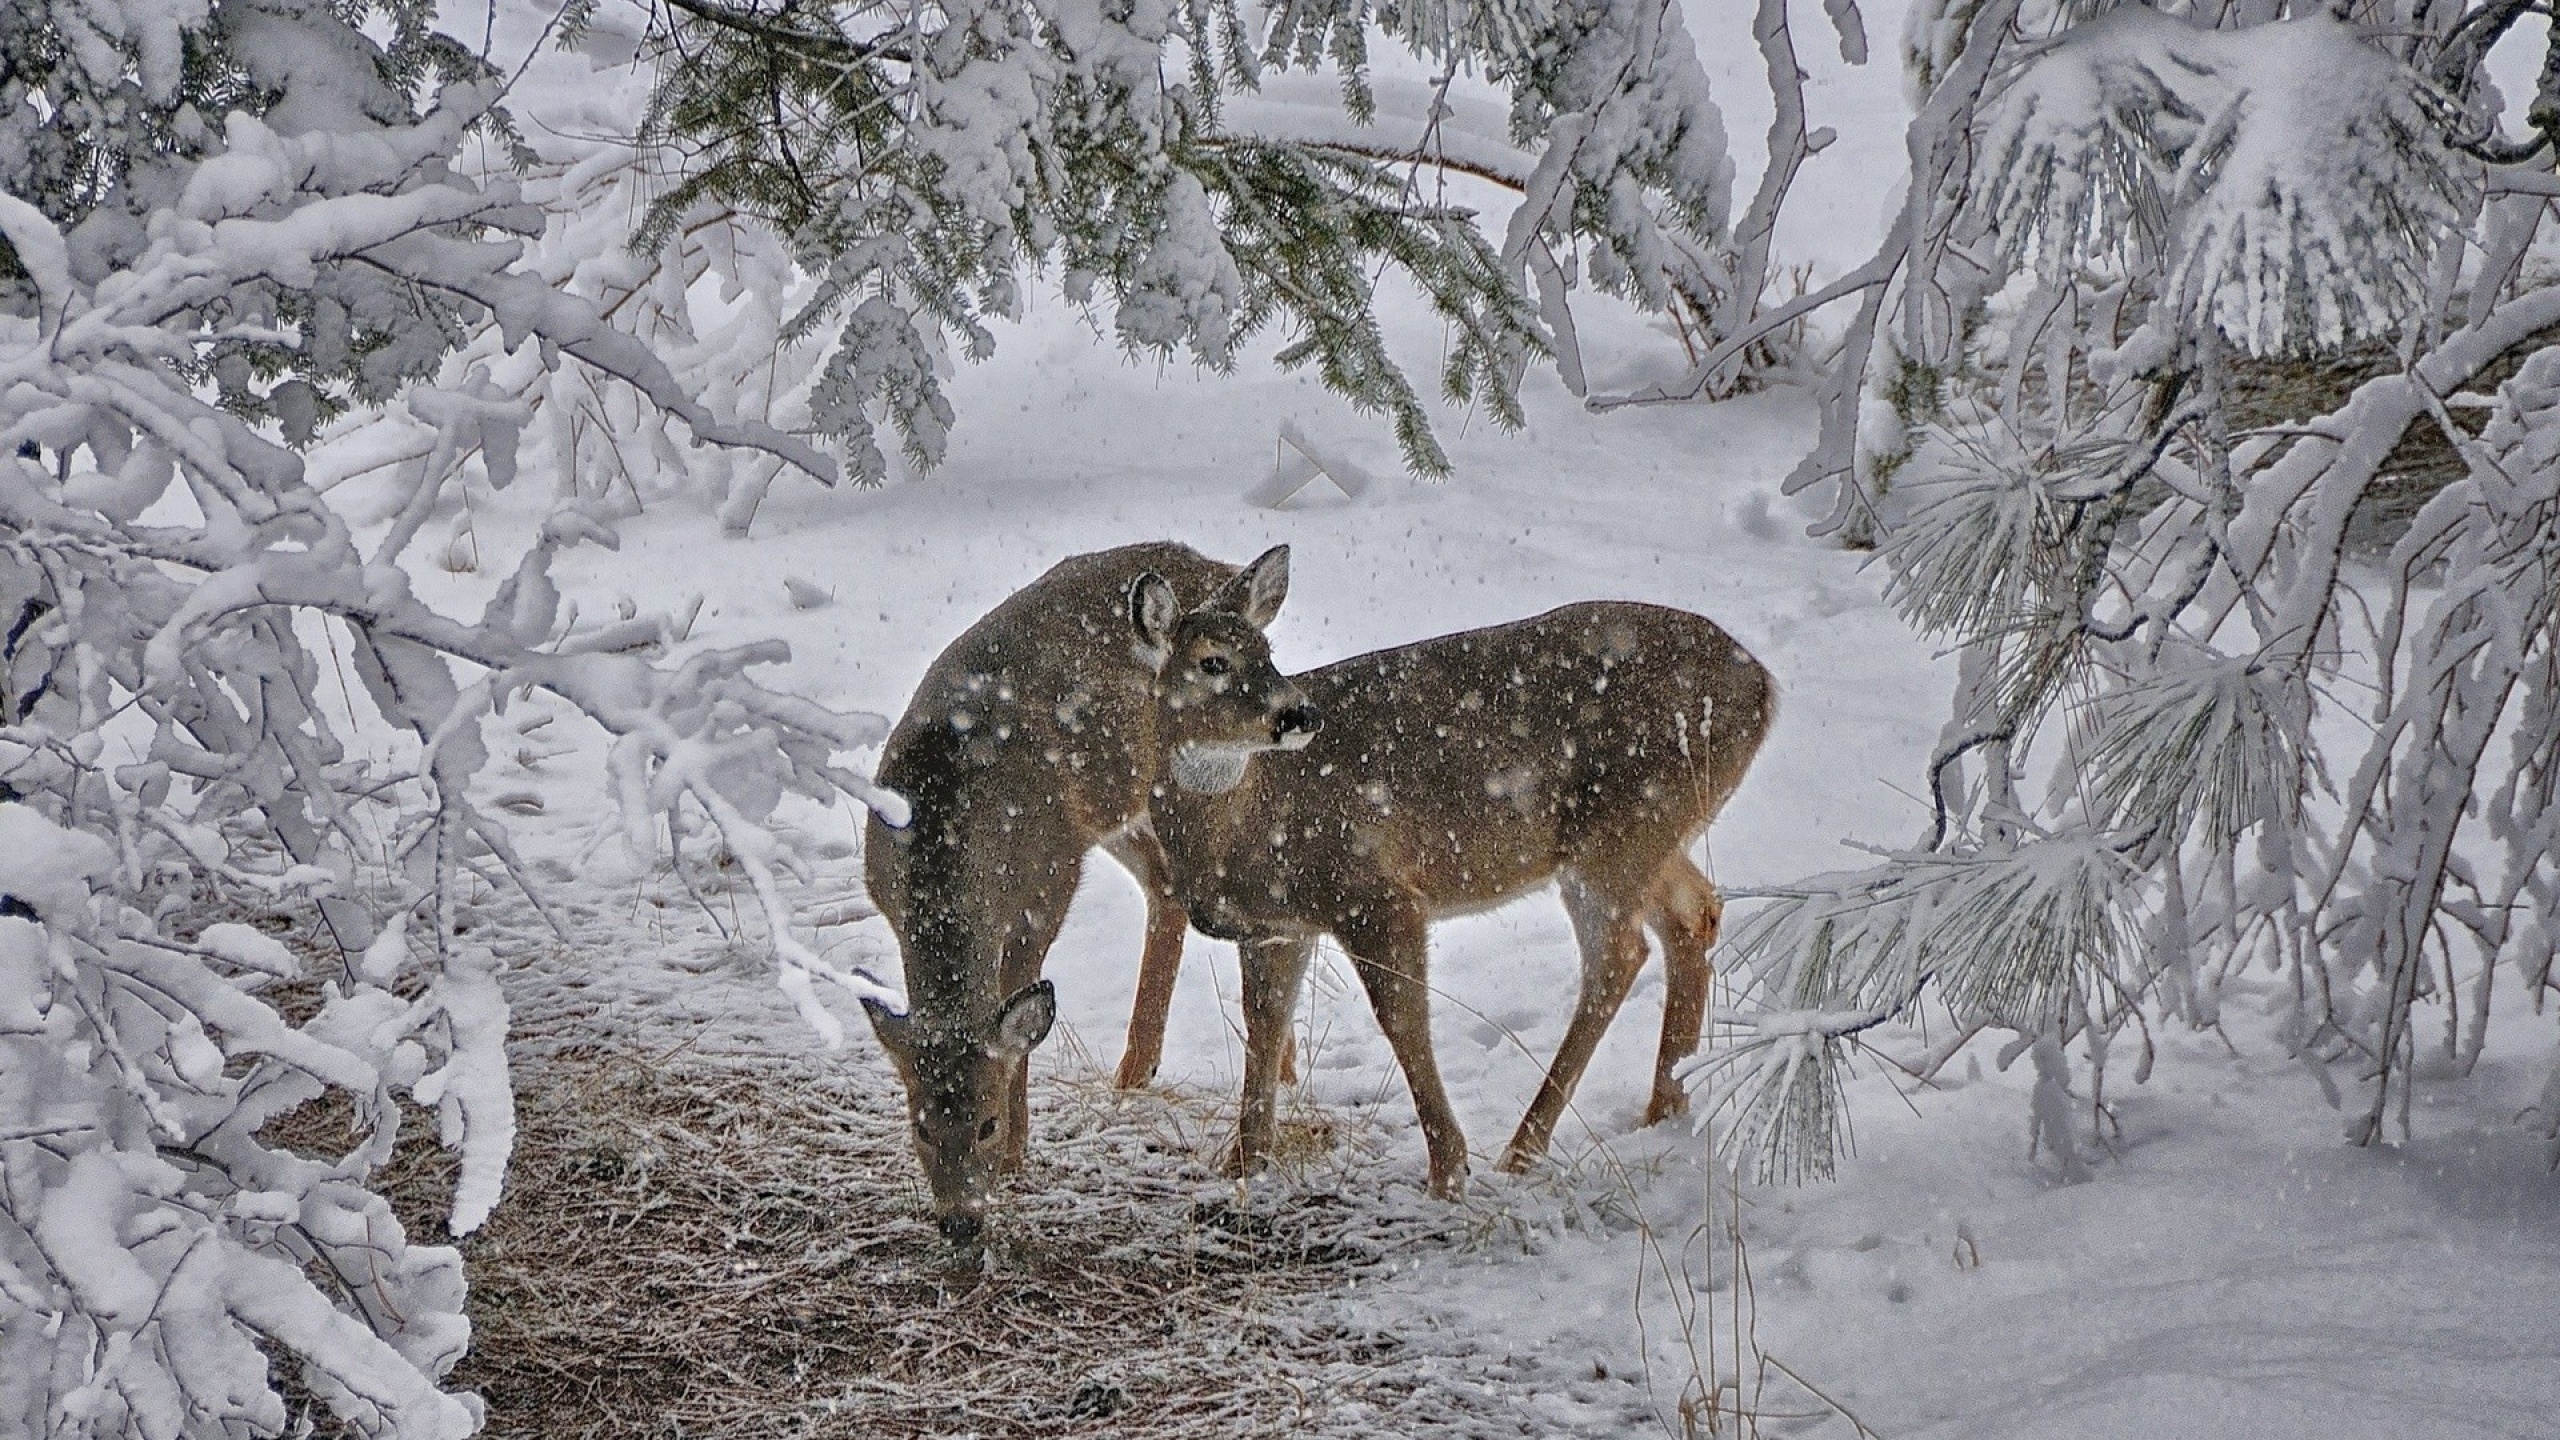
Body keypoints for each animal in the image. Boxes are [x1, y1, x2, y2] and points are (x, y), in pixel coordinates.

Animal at [865, 538, 1300, 1235]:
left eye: (985, 1124)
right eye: (921, 1128)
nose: (961, 1219)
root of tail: (1215, 568)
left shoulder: (1049, 882)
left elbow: (1019, 1008)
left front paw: (1018, 1154)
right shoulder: (885, 897)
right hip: (1116, 806)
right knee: (1166, 889)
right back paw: (1139, 1071)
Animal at [1131, 556, 1771, 1194]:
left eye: (1267, 650)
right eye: (1213, 661)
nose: (1300, 713)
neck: (1243, 822)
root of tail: (1764, 685)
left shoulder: (1375, 891)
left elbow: (1402, 1018)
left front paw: (1448, 1169)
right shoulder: (1276, 926)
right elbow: (1263, 1025)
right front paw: (1241, 1163)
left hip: (1622, 830)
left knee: (1619, 955)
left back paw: (1523, 1149)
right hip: (1652, 834)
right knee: (1696, 913)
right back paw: (1665, 1109)